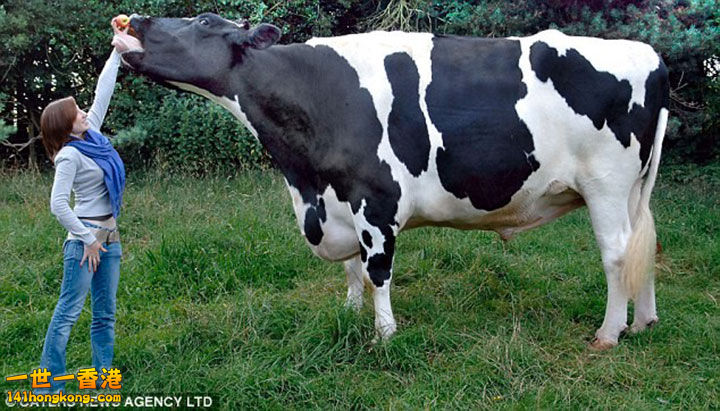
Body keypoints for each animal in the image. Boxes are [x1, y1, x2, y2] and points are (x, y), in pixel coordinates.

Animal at [119, 13, 669, 350]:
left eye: (204, 22)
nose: (135, 21)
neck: (304, 181)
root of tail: (649, 55)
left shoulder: (376, 199)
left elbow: (377, 271)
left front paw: (383, 334)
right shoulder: (339, 200)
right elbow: (351, 270)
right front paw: (348, 313)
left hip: (606, 182)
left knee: (617, 251)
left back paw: (609, 332)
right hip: (633, 188)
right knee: (645, 242)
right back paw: (643, 322)